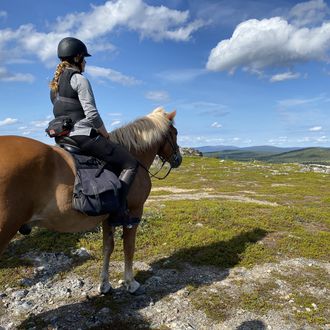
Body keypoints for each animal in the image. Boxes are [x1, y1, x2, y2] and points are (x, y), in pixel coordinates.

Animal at [0, 107, 180, 294]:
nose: (178, 159)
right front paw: (130, 282)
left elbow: (108, 247)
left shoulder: (108, 217)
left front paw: (105, 284)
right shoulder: (134, 212)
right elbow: (128, 247)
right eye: (175, 132)